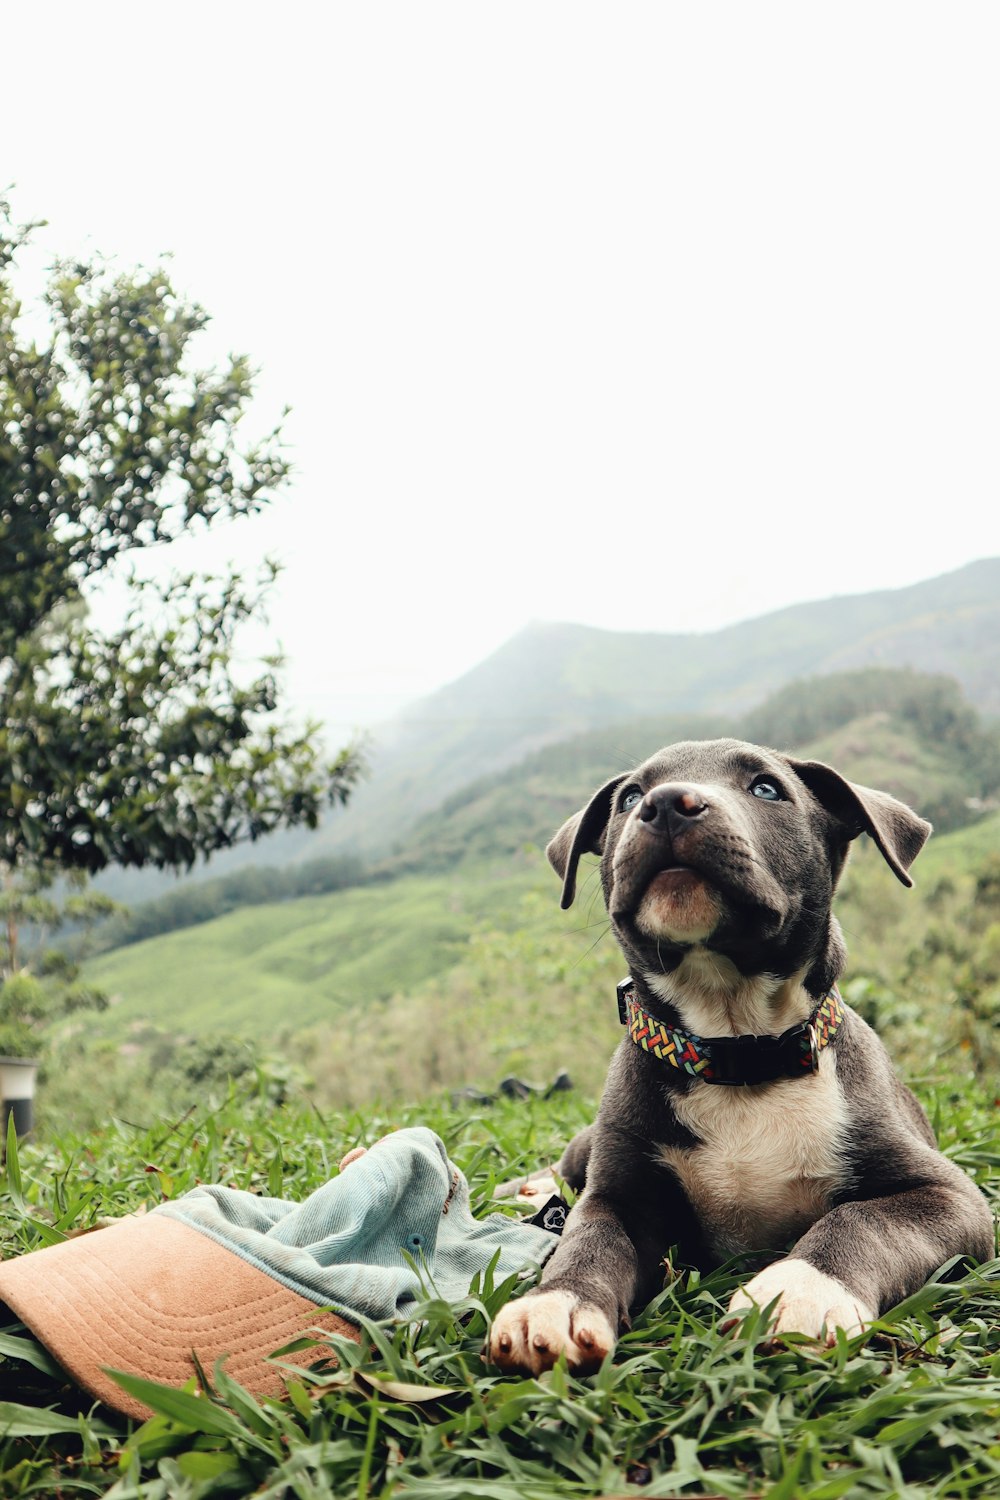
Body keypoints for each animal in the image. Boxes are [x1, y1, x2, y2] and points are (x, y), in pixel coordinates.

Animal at [485, 732, 995, 1374]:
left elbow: (859, 1219)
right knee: (563, 1165)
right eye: (629, 797)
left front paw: (800, 1290)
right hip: (593, 1140)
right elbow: (586, 1237)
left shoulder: (950, 1197)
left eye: (767, 788)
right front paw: (555, 1302)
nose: (666, 804)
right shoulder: (618, 1195)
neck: (739, 1053)